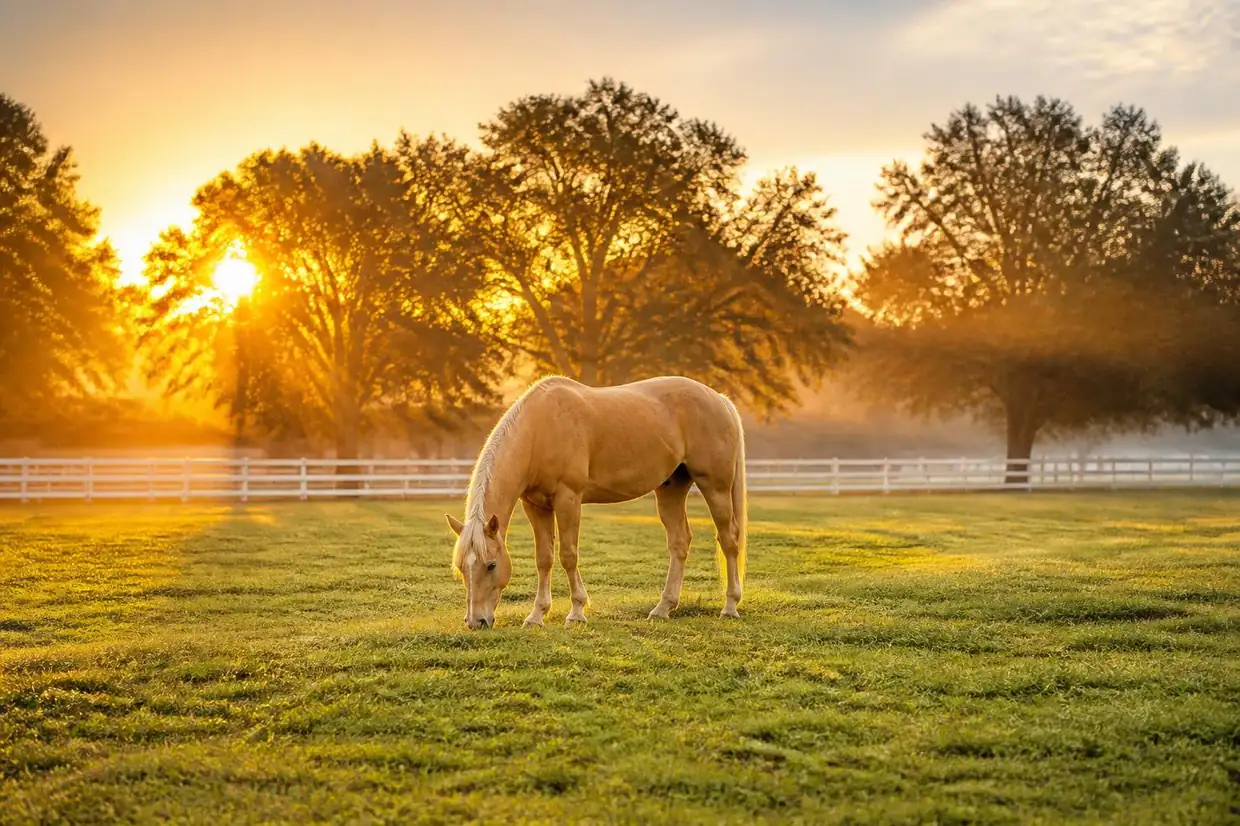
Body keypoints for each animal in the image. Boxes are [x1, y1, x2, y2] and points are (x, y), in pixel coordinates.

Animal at [445, 375, 748, 630]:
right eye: (461, 568)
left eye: (491, 565)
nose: (476, 622)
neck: (539, 429)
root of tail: (720, 399)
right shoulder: (536, 506)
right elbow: (544, 559)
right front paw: (536, 615)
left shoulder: (568, 499)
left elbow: (568, 556)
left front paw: (577, 612)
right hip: (671, 489)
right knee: (679, 542)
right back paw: (663, 608)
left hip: (715, 487)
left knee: (728, 539)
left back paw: (730, 606)